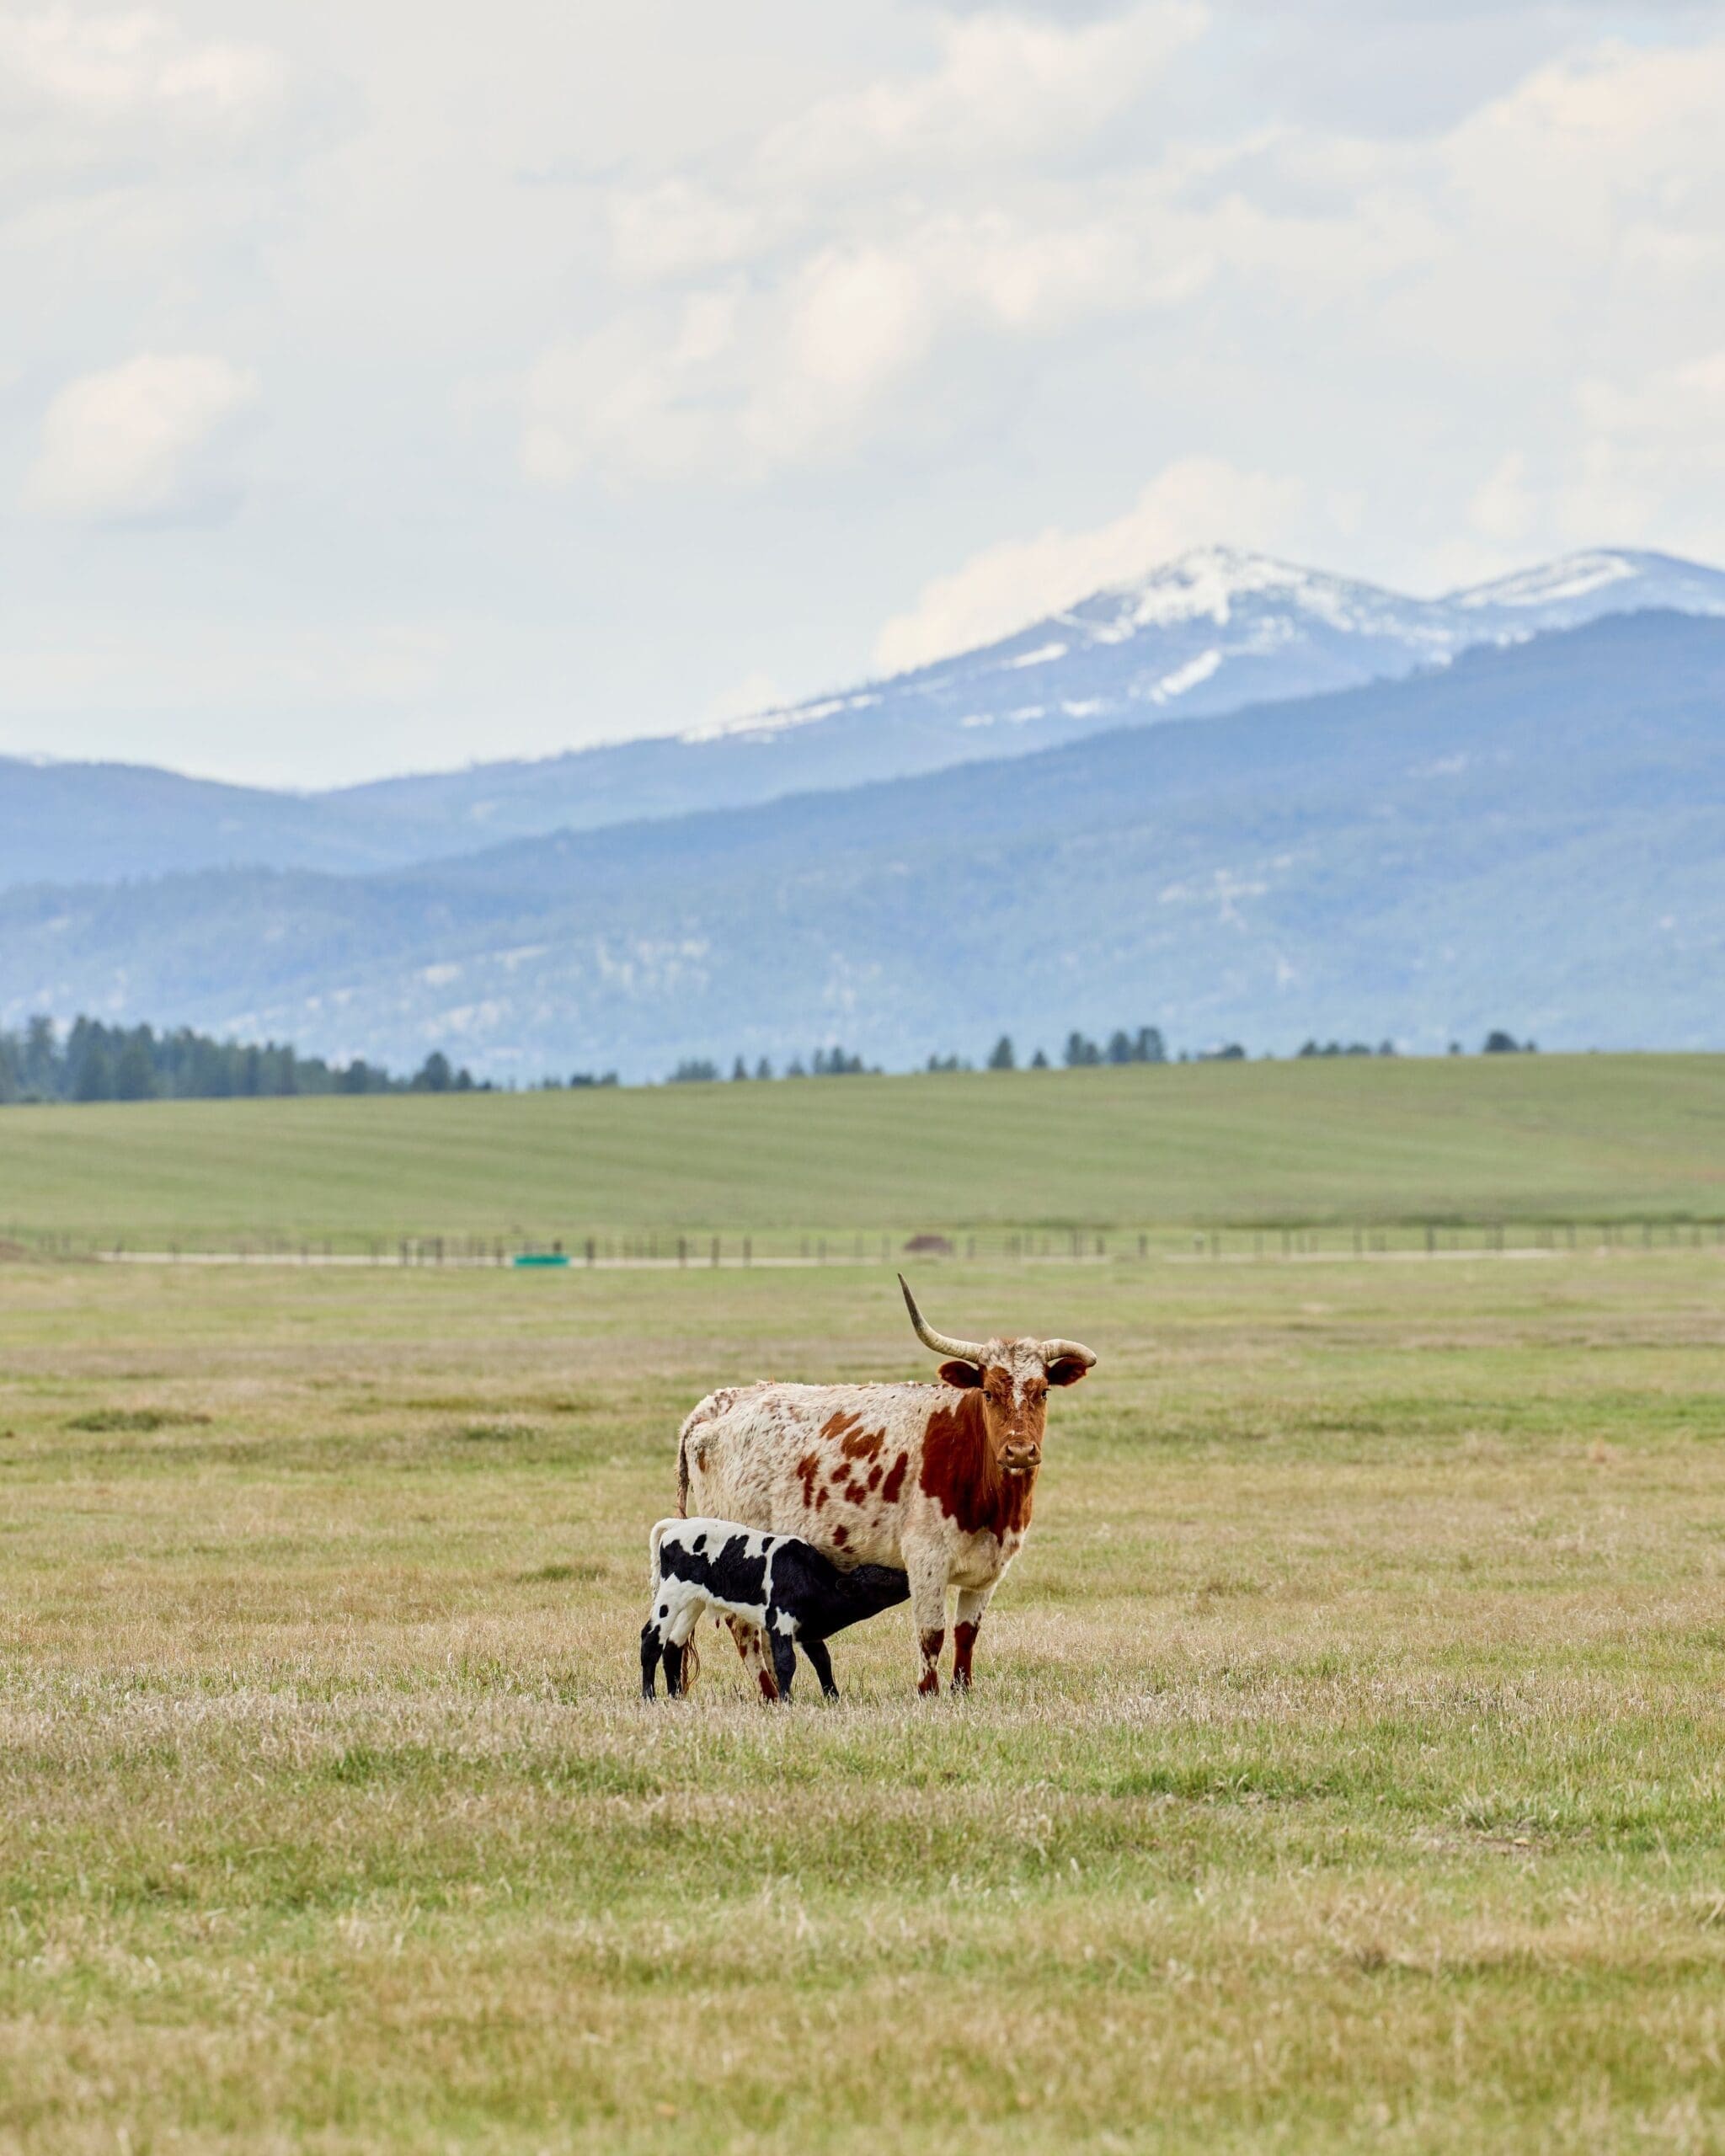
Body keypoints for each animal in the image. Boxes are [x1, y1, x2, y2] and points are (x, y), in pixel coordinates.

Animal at [675, 1275, 1096, 1695]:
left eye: (1044, 1391)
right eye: (989, 1392)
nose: (1020, 1450)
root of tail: (721, 1401)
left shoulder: (989, 1569)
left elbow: (966, 1635)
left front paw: (962, 1691)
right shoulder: (926, 1559)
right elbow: (932, 1634)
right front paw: (929, 1693)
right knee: (742, 1629)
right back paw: (769, 1694)